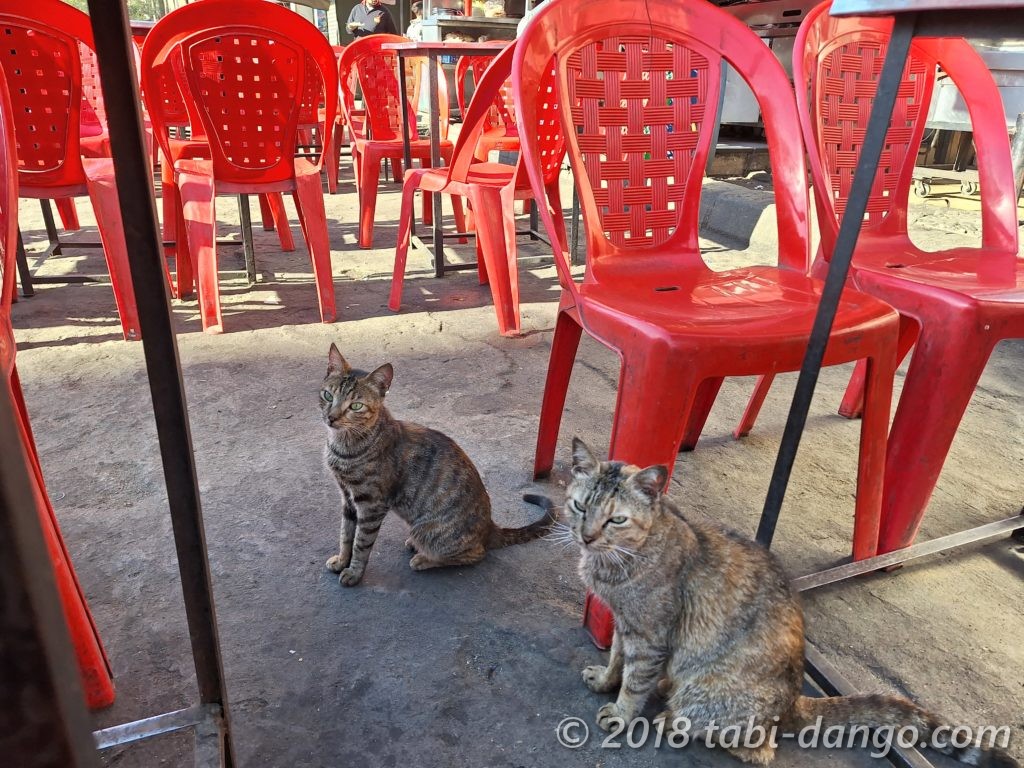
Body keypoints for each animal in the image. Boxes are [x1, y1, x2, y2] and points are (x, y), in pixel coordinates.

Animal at [319, 344, 555, 586]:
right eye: (328, 395)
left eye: (356, 406)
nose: (331, 417)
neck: (344, 446)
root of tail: (490, 527)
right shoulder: (347, 498)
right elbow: (346, 535)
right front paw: (342, 560)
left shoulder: (371, 504)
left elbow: (361, 544)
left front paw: (354, 572)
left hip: (425, 530)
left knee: (476, 553)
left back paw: (423, 558)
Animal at [563, 438, 1018, 767]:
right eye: (580, 506)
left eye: (616, 519)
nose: (585, 536)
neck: (620, 558)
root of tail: (792, 702)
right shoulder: (626, 625)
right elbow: (617, 660)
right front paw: (605, 681)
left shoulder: (650, 635)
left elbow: (634, 681)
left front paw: (621, 713)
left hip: (710, 694)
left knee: (757, 747)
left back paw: (675, 720)